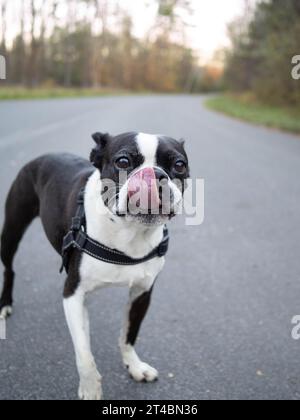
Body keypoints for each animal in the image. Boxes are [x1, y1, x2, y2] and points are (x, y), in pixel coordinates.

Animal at [0, 131, 189, 400]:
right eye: (123, 161)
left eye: (179, 165)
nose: (154, 174)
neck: (129, 233)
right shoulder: (74, 294)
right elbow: (84, 353)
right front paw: (90, 388)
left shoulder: (142, 293)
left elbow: (129, 334)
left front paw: (134, 366)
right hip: (12, 230)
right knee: (9, 268)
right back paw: (5, 304)